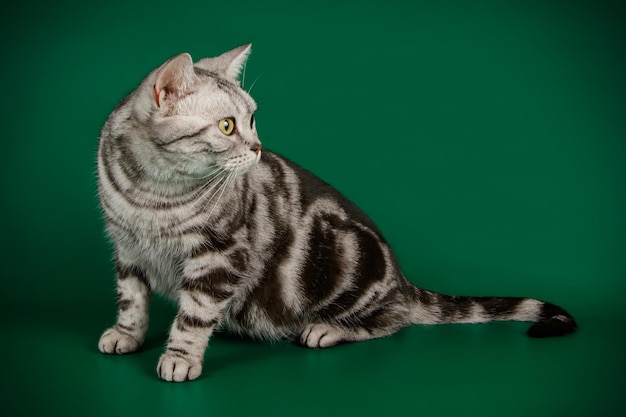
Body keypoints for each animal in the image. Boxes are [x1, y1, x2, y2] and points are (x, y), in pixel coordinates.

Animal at [97, 44, 576, 380]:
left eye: (252, 120)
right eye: (228, 126)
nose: (258, 148)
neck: (152, 194)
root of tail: (402, 280)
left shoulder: (219, 256)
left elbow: (194, 315)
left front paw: (179, 356)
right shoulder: (125, 247)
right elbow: (132, 298)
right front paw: (126, 334)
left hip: (351, 261)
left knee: (394, 319)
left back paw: (328, 328)